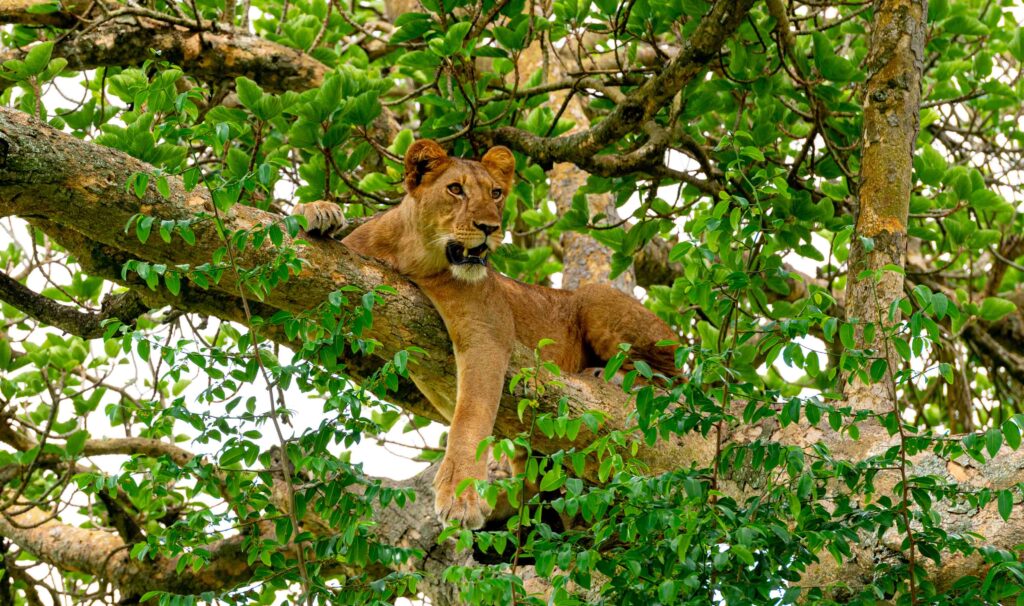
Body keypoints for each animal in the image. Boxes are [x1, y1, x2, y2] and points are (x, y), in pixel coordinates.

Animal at [296, 140, 677, 529]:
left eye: (495, 193)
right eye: (455, 189)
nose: (489, 227)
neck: (414, 257)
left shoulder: (486, 331)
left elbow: (471, 414)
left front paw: (460, 495)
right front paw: (318, 212)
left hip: (595, 297)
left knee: (672, 378)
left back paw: (609, 376)